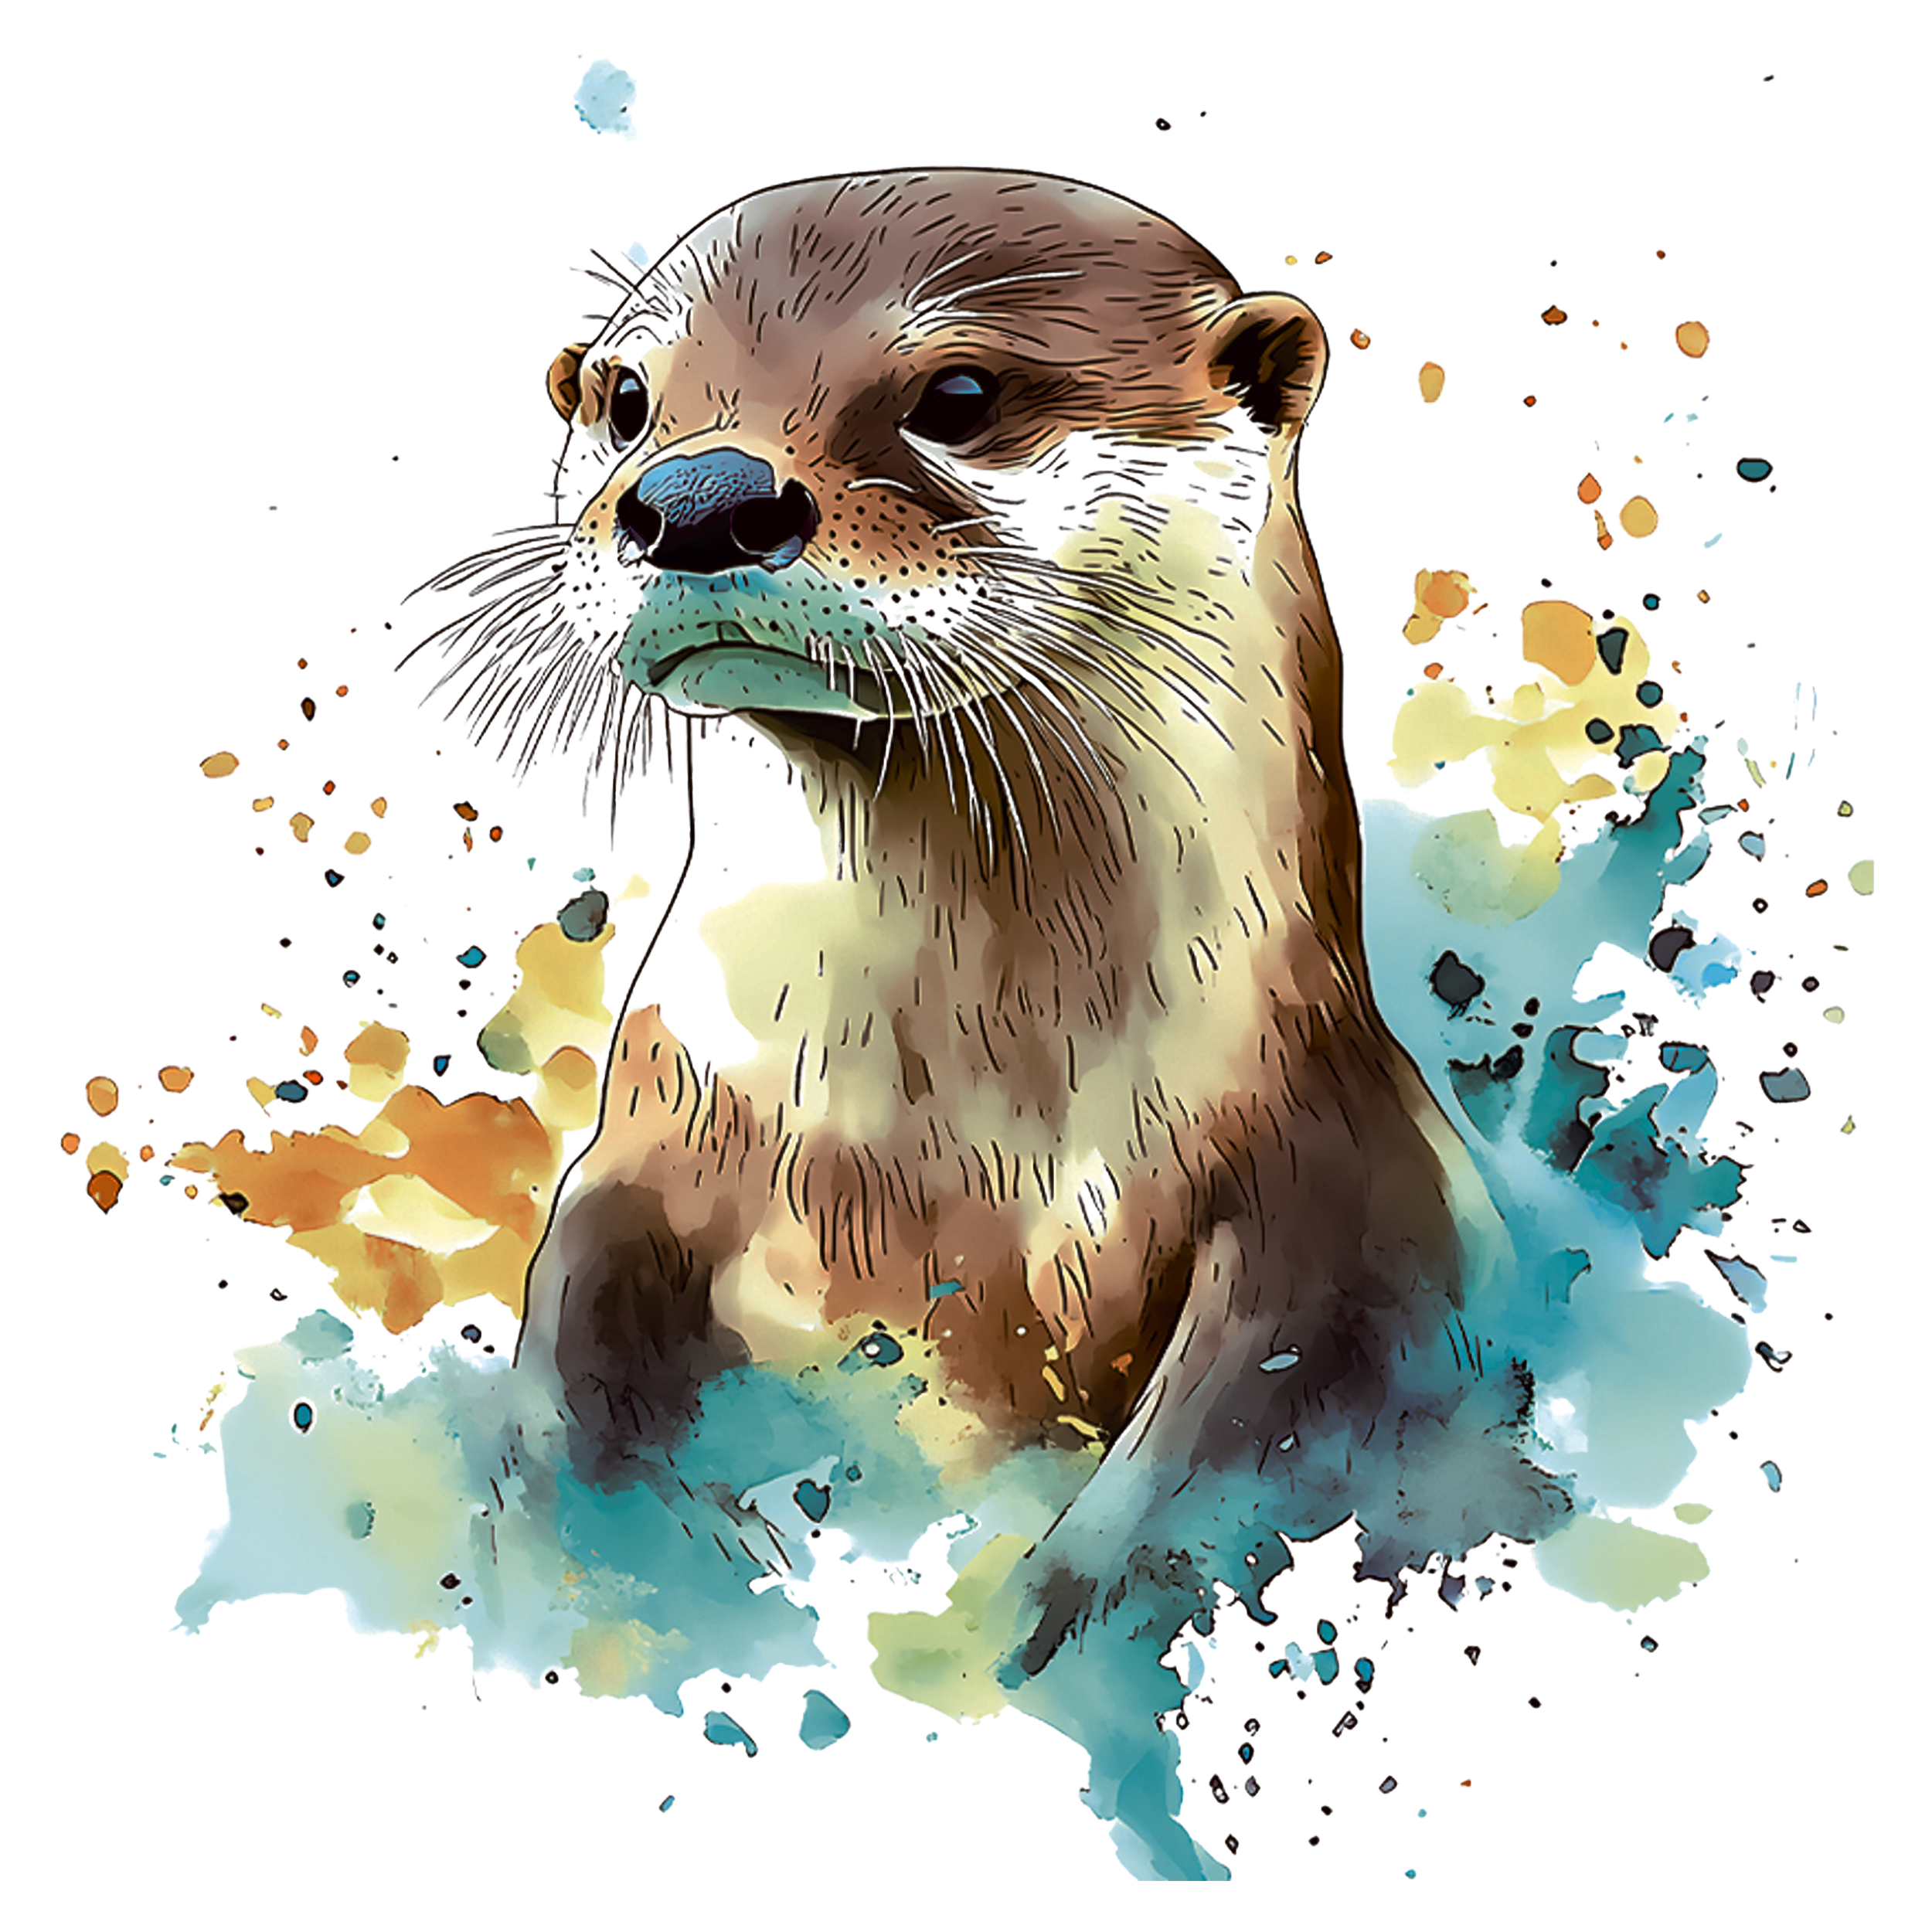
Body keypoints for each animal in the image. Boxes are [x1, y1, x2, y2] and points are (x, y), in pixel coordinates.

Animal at [423, 169, 1523, 1630]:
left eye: (958, 394)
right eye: (626, 397)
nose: (699, 493)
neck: (942, 1139)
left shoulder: (1335, 1200)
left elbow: (1219, 1469)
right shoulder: (660, 1126)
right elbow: (569, 1353)